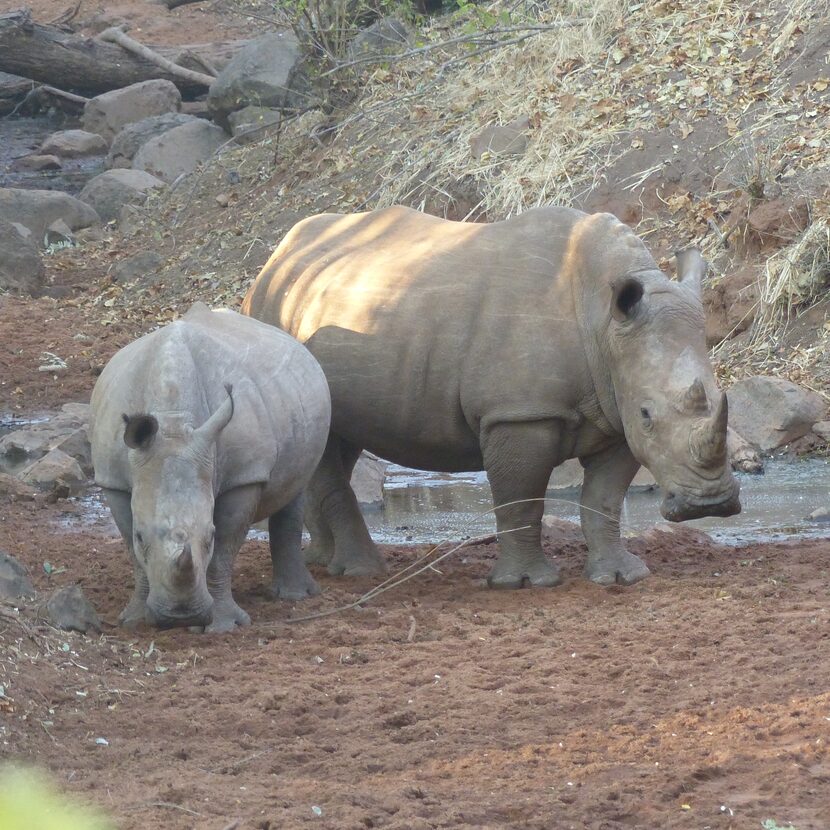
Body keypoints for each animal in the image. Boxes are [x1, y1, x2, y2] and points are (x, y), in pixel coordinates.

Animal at [87, 302, 328, 632]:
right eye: (141, 536)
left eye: (209, 536)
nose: (180, 617)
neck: (174, 421)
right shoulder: (113, 480)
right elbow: (131, 548)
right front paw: (133, 620)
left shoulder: (245, 475)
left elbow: (225, 547)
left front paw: (222, 626)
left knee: (295, 488)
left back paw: (293, 597)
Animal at [242, 205, 740, 588]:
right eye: (648, 413)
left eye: (721, 398)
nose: (710, 505)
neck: (602, 320)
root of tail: (273, 259)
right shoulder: (519, 414)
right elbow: (520, 497)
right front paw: (526, 584)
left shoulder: (615, 413)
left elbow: (603, 500)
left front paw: (621, 577)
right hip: (278, 319)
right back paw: (363, 572)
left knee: (334, 440)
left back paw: (323, 563)